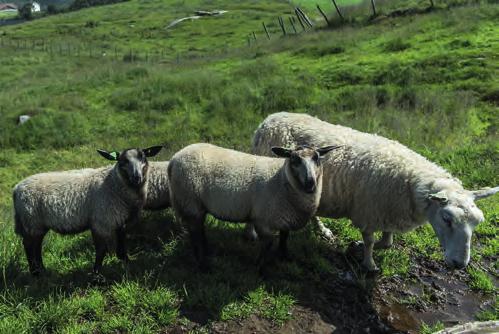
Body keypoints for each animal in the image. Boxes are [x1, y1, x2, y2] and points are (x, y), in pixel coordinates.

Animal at [13, 145, 162, 274]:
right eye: (123, 161)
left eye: (143, 157)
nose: (137, 177)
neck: (113, 182)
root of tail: (16, 188)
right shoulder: (100, 222)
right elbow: (101, 249)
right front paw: (97, 274)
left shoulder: (120, 220)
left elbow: (121, 240)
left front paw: (125, 260)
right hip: (31, 221)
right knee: (29, 245)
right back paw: (36, 272)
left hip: (36, 224)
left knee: (36, 246)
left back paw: (42, 271)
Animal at [168, 142, 340, 270]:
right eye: (294, 160)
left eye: (317, 158)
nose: (310, 182)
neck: (283, 180)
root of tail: (174, 159)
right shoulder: (263, 219)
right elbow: (268, 244)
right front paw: (260, 268)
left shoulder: (285, 217)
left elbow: (284, 238)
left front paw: (284, 256)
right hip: (190, 202)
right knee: (195, 233)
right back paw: (203, 263)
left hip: (195, 204)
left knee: (199, 231)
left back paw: (207, 254)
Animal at [252, 112, 498, 272]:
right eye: (447, 219)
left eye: (477, 222)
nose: (459, 265)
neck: (408, 180)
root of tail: (268, 120)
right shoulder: (368, 212)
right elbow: (370, 241)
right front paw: (368, 263)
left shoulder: (388, 210)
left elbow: (387, 241)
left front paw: (356, 247)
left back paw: (323, 230)